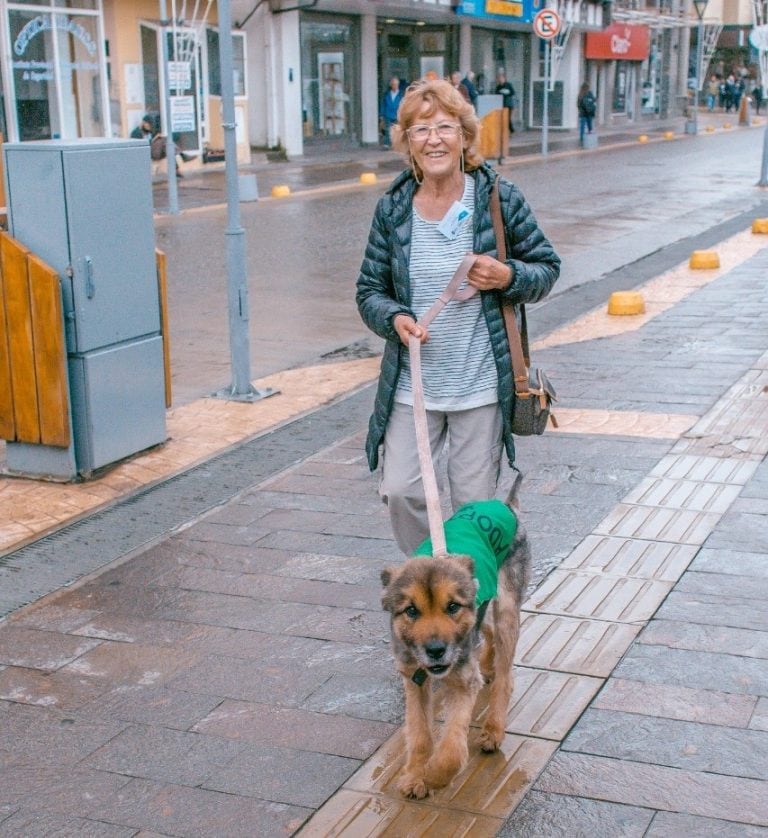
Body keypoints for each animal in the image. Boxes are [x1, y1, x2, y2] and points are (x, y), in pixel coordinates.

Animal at [380, 472, 532, 800]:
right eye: (411, 611)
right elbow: (419, 734)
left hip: (506, 607)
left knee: (505, 676)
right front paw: (415, 775)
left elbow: (451, 750)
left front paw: (434, 776)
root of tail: (505, 504)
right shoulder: (413, 679)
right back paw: (486, 665)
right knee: (486, 635)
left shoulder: (463, 682)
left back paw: (493, 729)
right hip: (483, 612)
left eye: (452, 607)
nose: (436, 650)